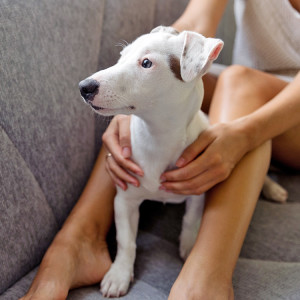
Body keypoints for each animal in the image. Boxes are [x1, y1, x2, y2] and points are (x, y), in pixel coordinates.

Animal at [79, 25, 288, 298]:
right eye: (121, 56)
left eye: (146, 63)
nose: (84, 87)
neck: (159, 138)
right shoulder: (124, 199)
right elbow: (126, 241)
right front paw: (119, 274)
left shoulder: (197, 189)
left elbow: (191, 219)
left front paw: (189, 246)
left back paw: (274, 189)